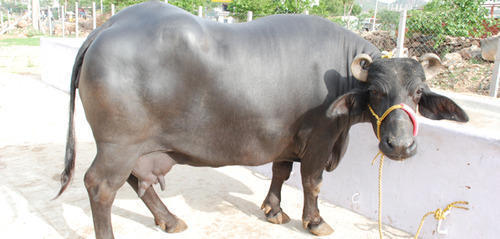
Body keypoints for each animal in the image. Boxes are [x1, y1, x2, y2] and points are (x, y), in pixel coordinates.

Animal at [55, 1, 468, 237]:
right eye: (378, 93)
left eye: (418, 93)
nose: (400, 145)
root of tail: (107, 26)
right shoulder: (321, 138)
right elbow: (312, 182)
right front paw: (314, 221)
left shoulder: (287, 139)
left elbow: (281, 171)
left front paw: (273, 210)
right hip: (118, 145)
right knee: (100, 186)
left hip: (136, 148)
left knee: (136, 182)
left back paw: (170, 220)